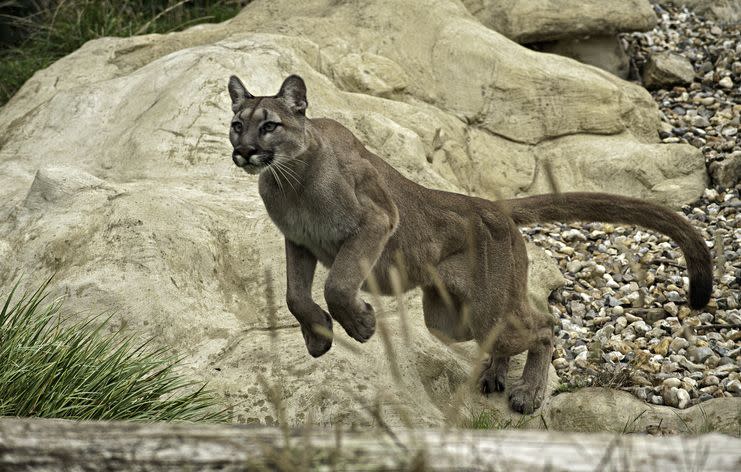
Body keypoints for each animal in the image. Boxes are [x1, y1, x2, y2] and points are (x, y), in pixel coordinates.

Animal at [225, 74, 712, 412]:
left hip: (485, 310)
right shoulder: (299, 242)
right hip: (449, 320)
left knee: (544, 323)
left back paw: (528, 391)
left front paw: (359, 324)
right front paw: (318, 337)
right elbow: (294, 296)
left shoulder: (376, 220)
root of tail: (491, 206)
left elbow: (337, 284)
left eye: (269, 126)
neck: (291, 181)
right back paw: (495, 374)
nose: (244, 150)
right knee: (507, 331)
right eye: (236, 125)